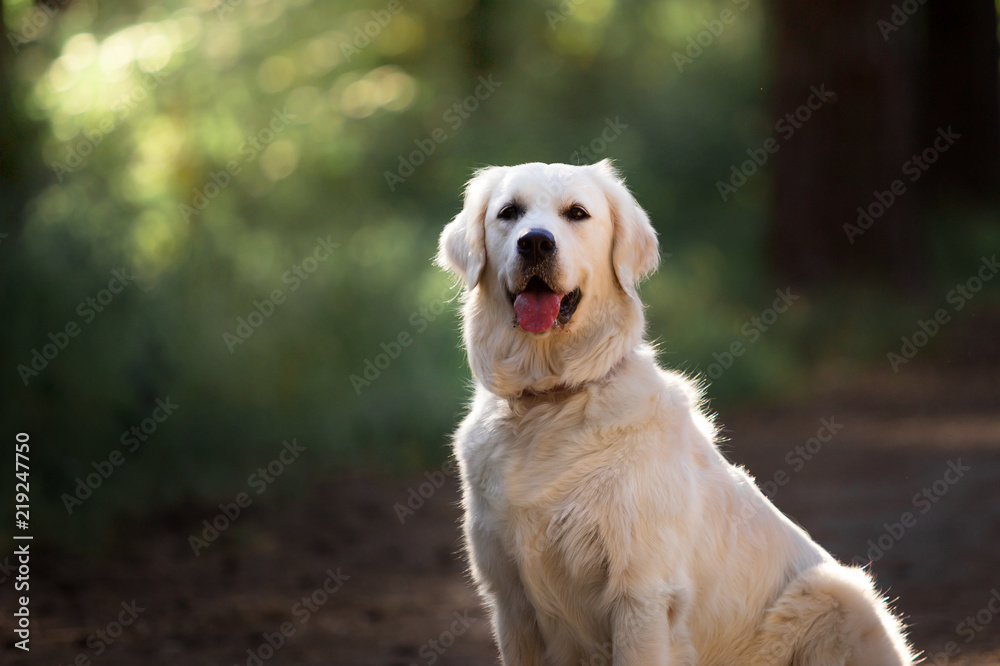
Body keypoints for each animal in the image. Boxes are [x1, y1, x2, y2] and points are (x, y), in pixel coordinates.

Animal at [436, 162, 916, 664]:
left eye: (577, 213)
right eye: (509, 213)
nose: (535, 242)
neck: (550, 401)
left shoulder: (642, 594)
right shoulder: (511, 603)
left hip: (837, 591)